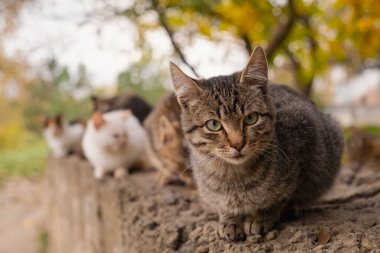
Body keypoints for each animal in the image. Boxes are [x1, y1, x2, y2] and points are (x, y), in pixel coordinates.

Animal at [171, 46, 342, 242]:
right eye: (213, 124)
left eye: (251, 118)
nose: (238, 144)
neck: (234, 177)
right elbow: (224, 206)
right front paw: (229, 220)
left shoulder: (305, 136)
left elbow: (282, 195)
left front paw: (261, 216)